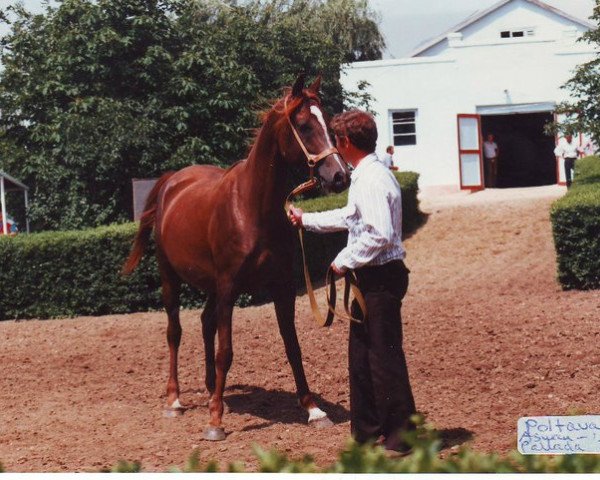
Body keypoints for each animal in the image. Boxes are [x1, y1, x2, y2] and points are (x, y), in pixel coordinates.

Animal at [123, 77, 352, 440]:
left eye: (328, 124)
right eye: (304, 125)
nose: (340, 176)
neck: (252, 208)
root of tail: (172, 181)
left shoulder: (282, 288)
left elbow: (292, 346)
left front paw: (313, 409)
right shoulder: (230, 287)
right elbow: (225, 351)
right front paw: (215, 421)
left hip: (211, 285)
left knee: (205, 324)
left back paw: (211, 390)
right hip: (171, 278)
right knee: (175, 332)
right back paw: (175, 401)